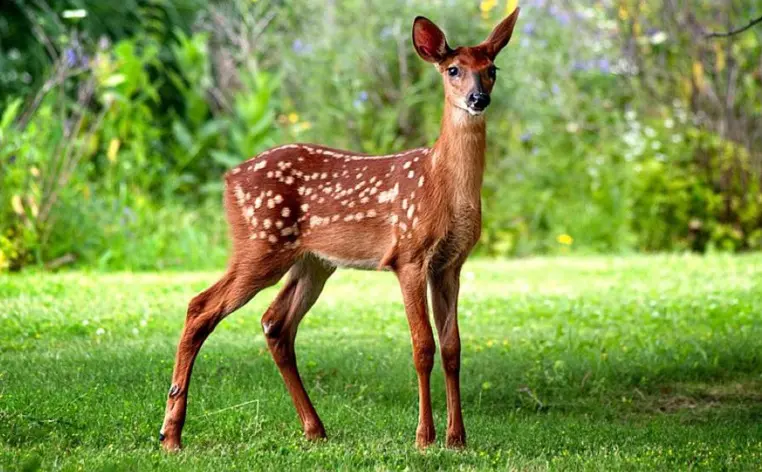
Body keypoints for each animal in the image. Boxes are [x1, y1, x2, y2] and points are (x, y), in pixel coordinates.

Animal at [159, 7, 516, 450]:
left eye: (492, 69)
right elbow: (422, 345)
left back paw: (314, 428)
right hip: (260, 243)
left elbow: (453, 347)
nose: (477, 99)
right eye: (453, 69)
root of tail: (228, 179)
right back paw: (171, 434)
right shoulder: (409, 254)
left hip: (312, 262)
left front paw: (457, 438)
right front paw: (424, 437)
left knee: (275, 323)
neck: (442, 183)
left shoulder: (451, 263)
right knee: (200, 307)